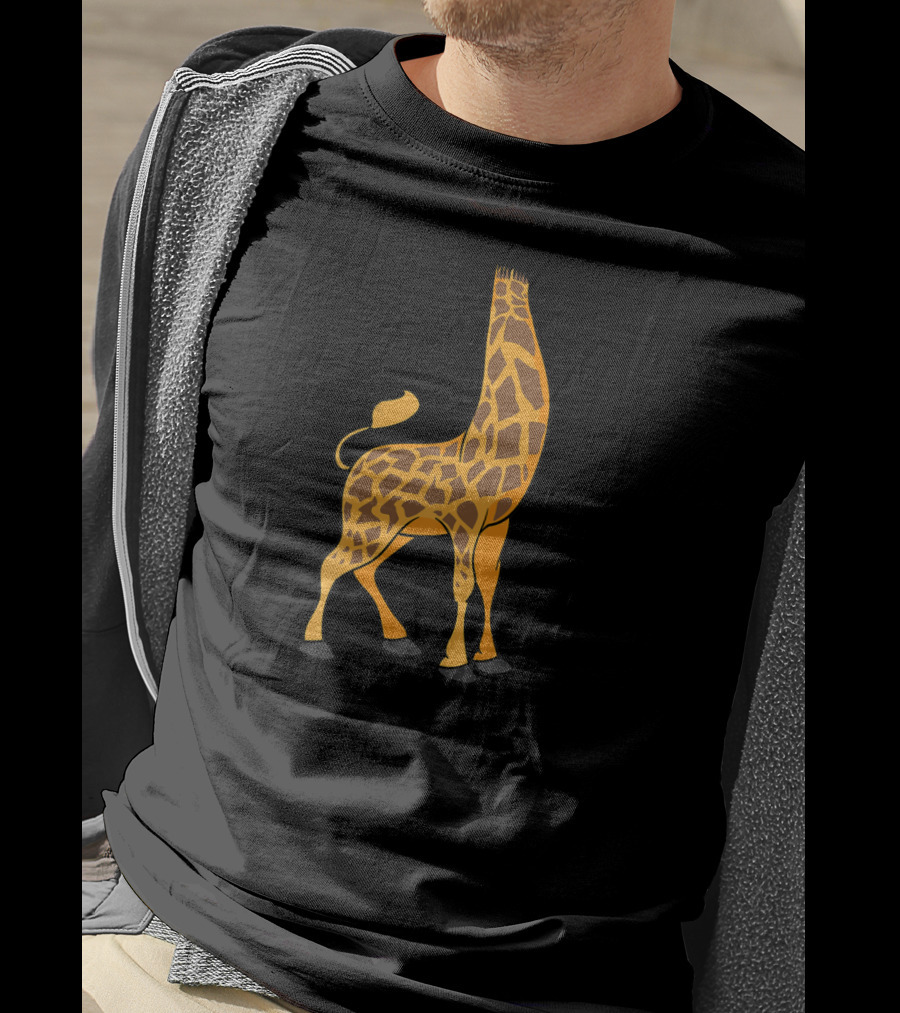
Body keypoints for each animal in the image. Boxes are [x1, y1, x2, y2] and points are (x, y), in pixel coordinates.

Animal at [304, 266, 550, 668]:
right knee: (332, 562)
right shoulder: (464, 522)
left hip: (397, 530)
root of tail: (354, 463)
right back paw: (315, 640)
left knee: (365, 569)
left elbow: (490, 581)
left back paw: (397, 637)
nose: (517, 280)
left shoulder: (498, 524)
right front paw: (455, 657)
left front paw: (489, 656)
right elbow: (463, 584)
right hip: (362, 523)